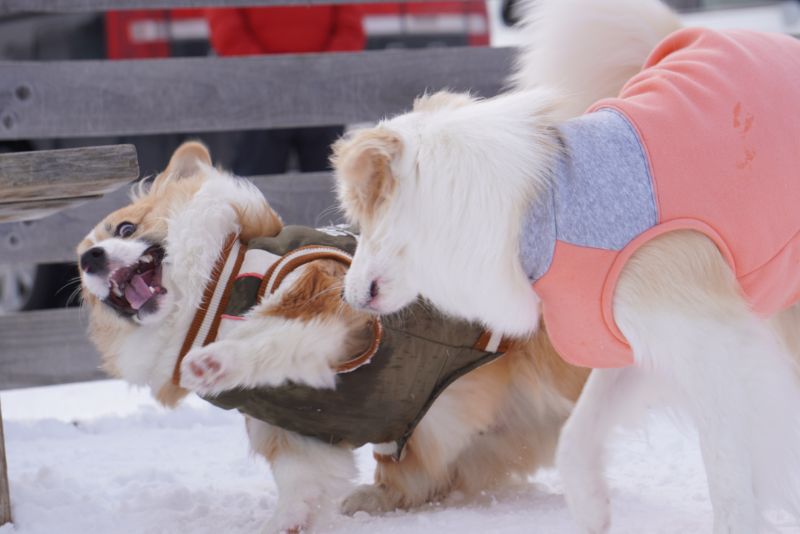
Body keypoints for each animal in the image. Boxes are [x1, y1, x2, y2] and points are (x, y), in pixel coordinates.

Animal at [76, 140, 588, 532]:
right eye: (82, 276)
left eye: (125, 227)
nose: (88, 259)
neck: (210, 300)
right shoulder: (294, 424)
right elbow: (301, 485)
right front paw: (284, 524)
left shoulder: (329, 304)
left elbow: (272, 336)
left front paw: (214, 360)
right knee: (426, 479)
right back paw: (373, 498)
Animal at [332, 0, 800, 532]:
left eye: (357, 220)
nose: (347, 293)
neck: (537, 213)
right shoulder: (627, 339)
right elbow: (575, 438)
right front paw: (593, 508)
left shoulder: (714, 342)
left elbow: (728, 469)